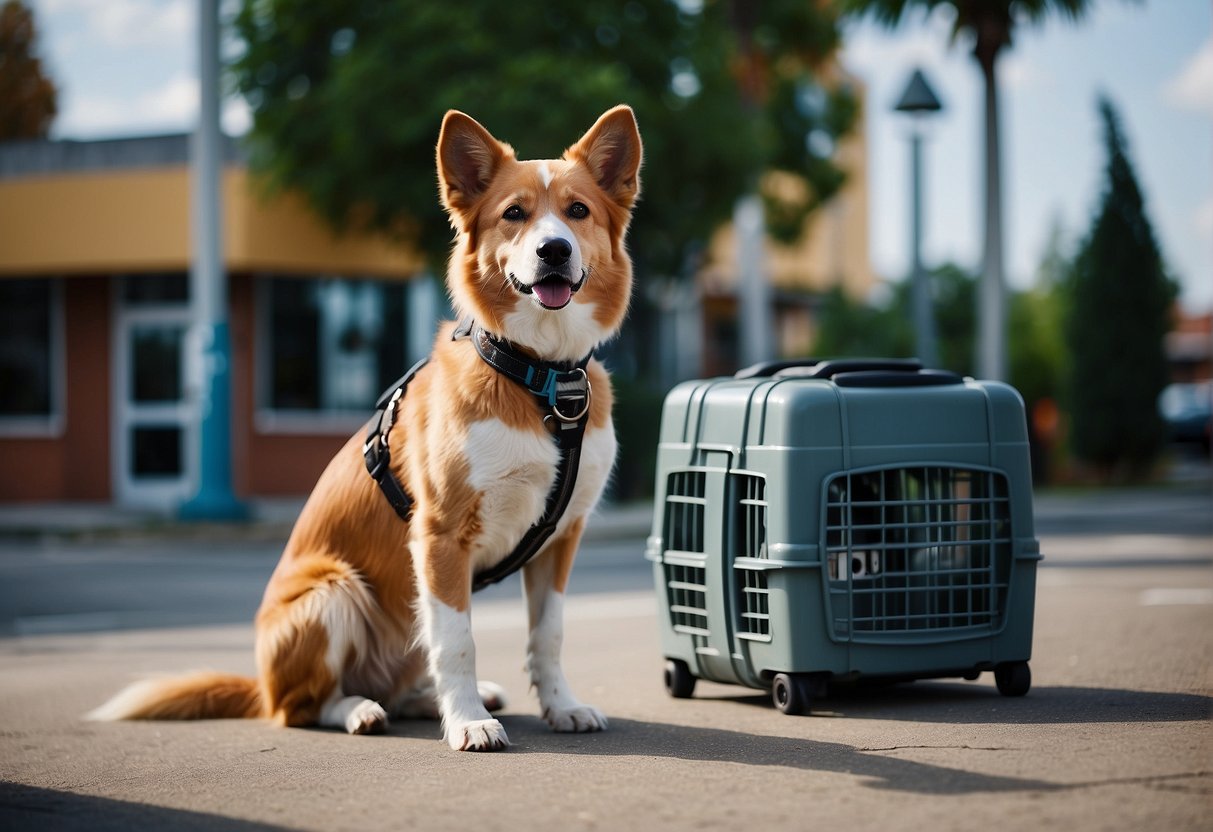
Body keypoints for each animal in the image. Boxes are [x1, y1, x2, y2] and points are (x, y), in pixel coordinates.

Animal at [90, 106, 645, 756]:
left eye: (578, 211)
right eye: (515, 214)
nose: (554, 250)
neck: (541, 378)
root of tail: (262, 686)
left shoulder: (560, 540)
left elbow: (548, 634)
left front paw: (560, 706)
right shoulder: (440, 536)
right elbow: (458, 640)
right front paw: (468, 722)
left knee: (403, 680)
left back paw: (430, 700)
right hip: (334, 591)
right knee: (304, 707)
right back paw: (361, 709)